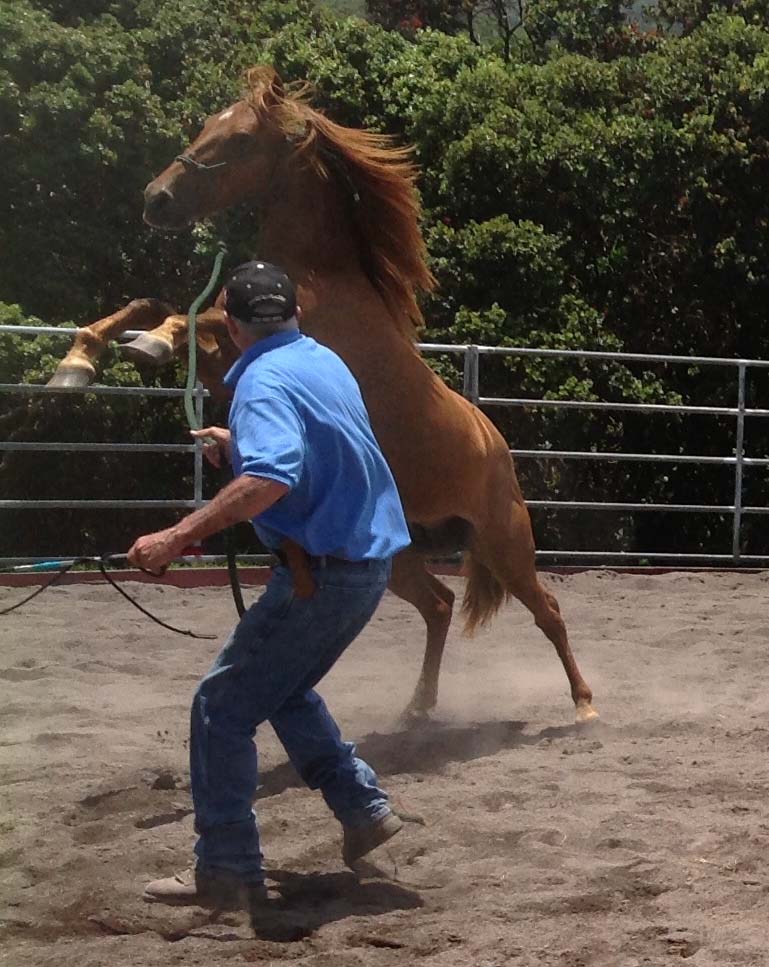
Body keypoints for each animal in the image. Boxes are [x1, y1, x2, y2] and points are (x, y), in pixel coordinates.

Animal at [49, 70, 600, 728]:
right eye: (207, 123)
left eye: (238, 138)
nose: (156, 199)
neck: (311, 278)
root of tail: (495, 441)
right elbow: (150, 303)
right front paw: (77, 363)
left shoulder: (239, 351)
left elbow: (186, 320)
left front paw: (145, 346)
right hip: (400, 553)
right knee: (440, 605)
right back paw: (418, 707)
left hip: (505, 541)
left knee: (548, 612)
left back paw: (584, 706)